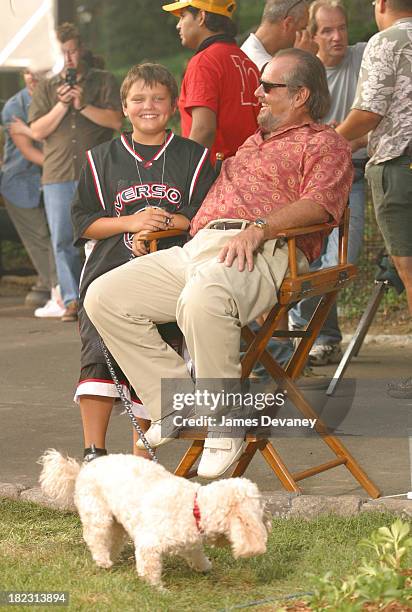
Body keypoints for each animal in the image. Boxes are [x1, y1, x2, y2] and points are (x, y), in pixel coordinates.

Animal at [38, 450, 270, 588]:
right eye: (262, 511)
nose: (269, 523)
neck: (193, 507)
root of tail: (83, 469)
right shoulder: (149, 544)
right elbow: (150, 568)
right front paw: (156, 588)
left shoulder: (190, 542)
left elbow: (196, 554)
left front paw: (204, 567)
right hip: (97, 513)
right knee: (96, 538)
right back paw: (103, 560)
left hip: (117, 522)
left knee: (113, 539)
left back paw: (111, 558)